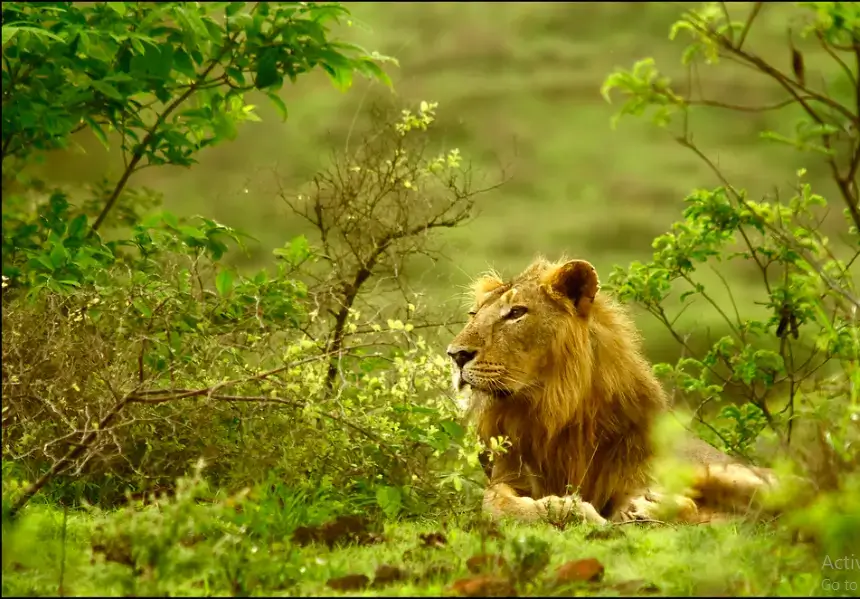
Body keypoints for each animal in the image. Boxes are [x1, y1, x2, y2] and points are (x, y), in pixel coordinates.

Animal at [450, 255, 788, 528]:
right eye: (473, 314)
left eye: (516, 312)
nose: (455, 355)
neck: (549, 408)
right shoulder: (508, 473)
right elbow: (495, 503)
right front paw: (567, 509)